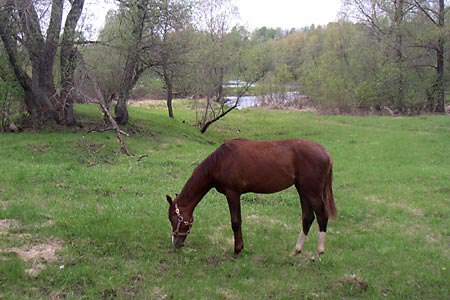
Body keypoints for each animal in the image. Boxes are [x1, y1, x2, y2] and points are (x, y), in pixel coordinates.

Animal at [167, 138, 336, 258]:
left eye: (174, 218)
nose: (176, 243)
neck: (221, 161)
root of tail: (326, 152)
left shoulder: (233, 193)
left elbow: (235, 222)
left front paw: (237, 250)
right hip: (302, 190)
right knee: (307, 217)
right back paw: (296, 250)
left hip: (312, 192)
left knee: (322, 216)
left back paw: (318, 252)